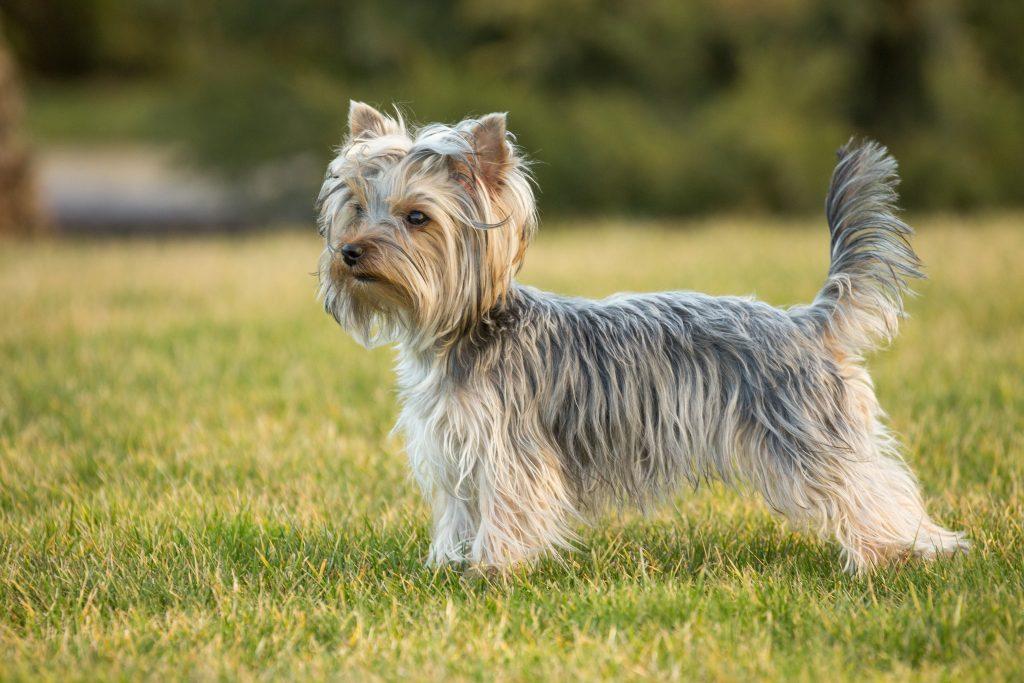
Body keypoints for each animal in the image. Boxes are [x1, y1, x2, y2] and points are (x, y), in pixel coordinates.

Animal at [313, 100, 966, 573]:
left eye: (417, 217)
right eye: (358, 208)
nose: (349, 252)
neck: (457, 331)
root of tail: (806, 322)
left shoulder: (508, 446)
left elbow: (509, 508)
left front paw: (491, 573)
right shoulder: (453, 449)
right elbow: (459, 512)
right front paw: (447, 567)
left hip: (807, 433)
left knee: (869, 485)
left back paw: (909, 553)